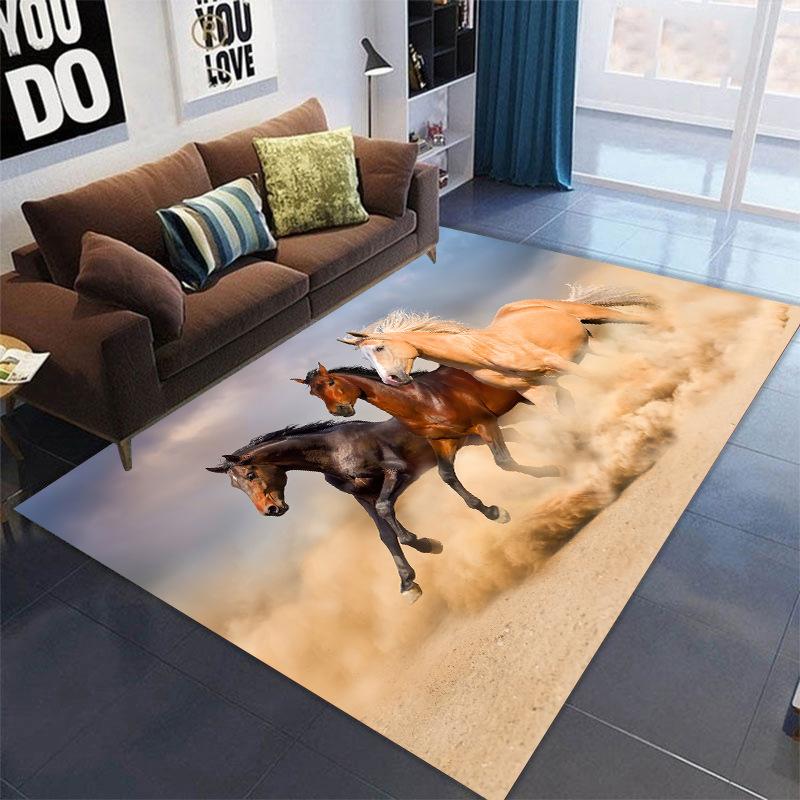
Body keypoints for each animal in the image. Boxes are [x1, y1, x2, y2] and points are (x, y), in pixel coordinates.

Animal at [206, 419, 486, 603]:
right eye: (235, 485)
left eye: (250, 475)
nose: (270, 510)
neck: (334, 451)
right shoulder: (363, 496)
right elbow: (386, 534)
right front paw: (408, 583)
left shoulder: (399, 472)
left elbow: (388, 513)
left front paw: (428, 544)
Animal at [293, 363, 561, 524]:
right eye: (314, 393)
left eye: (330, 382)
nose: (339, 410)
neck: (423, 401)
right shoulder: (444, 442)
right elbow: (447, 476)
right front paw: (494, 512)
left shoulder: (485, 424)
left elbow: (504, 461)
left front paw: (553, 469)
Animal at [338, 285, 657, 410]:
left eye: (379, 349)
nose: (391, 380)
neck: (482, 354)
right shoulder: (539, 392)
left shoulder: (554, 363)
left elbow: (603, 380)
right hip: (588, 346)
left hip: (596, 315)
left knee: (643, 318)